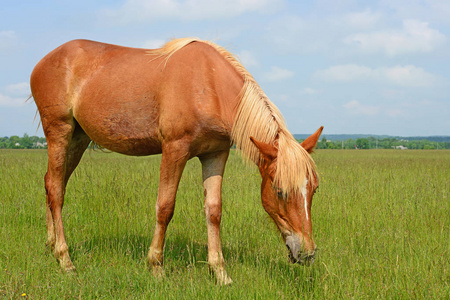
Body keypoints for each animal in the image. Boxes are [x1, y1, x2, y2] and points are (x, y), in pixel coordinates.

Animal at [29, 38, 324, 284]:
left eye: (314, 190)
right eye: (280, 191)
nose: (307, 254)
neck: (208, 84)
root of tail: (43, 62)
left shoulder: (216, 154)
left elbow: (214, 211)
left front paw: (220, 273)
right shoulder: (174, 150)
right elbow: (165, 207)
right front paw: (156, 266)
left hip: (78, 139)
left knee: (52, 183)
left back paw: (50, 245)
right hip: (59, 132)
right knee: (56, 191)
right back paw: (65, 259)